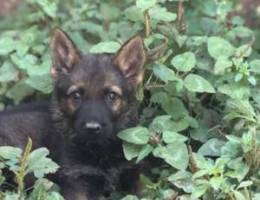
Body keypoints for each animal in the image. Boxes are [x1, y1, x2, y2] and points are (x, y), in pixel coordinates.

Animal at [0, 28, 146, 200]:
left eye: (111, 96)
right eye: (76, 96)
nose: (92, 128)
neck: (100, 149)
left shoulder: (132, 174)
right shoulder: (76, 181)